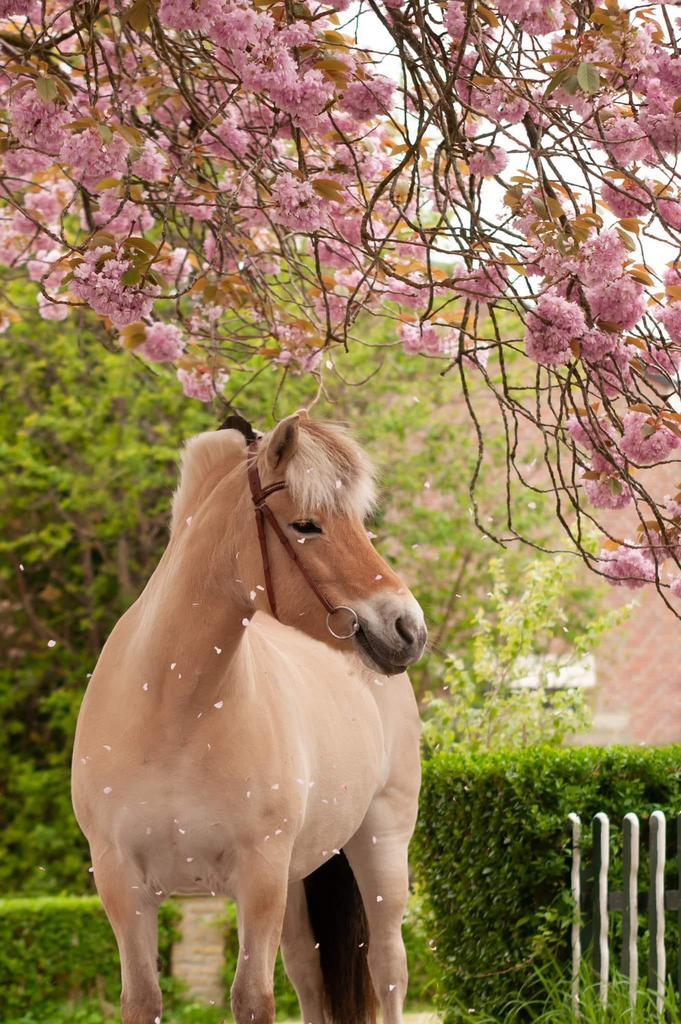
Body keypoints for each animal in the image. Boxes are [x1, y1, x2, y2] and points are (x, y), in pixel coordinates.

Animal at [71, 411, 427, 1024]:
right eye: (306, 525)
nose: (409, 628)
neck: (174, 712)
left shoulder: (258, 878)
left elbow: (252, 999)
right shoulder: (122, 884)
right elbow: (142, 999)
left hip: (381, 849)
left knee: (387, 971)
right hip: (300, 878)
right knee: (309, 976)